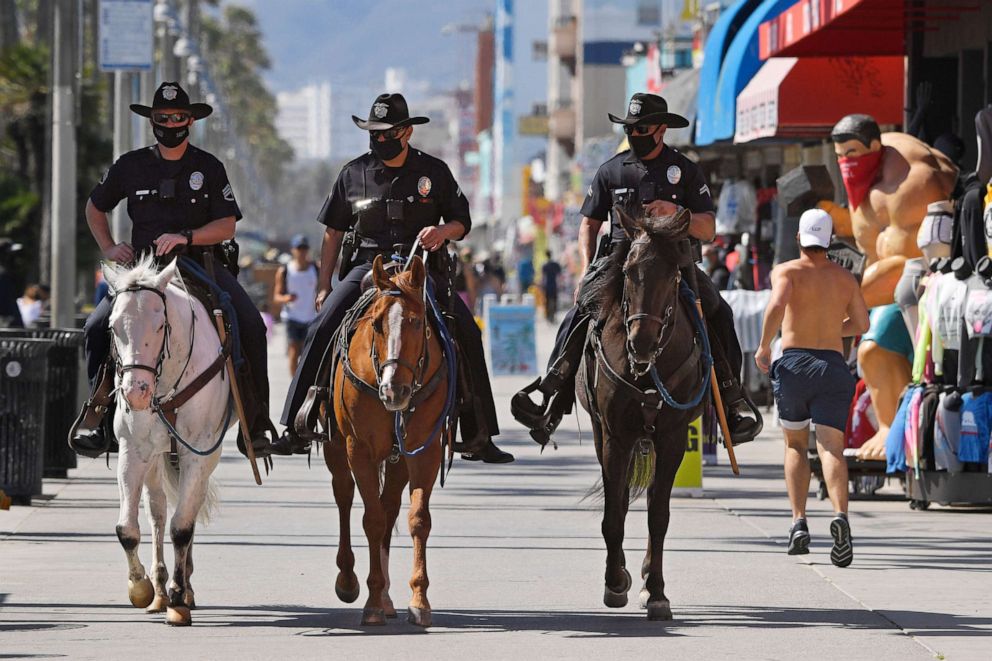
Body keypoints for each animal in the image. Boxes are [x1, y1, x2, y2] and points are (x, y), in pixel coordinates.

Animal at [103, 254, 232, 624]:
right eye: (113, 327)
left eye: (161, 325)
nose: (136, 392)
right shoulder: (133, 450)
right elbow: (127, 528)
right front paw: (141, 587)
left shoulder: (198, 453)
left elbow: (182, 528)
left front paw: (178, 598)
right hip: (156, 459)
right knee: (158, 512)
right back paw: (159, 590)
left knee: (187, 512)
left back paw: (182, 588)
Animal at [324, 255, 448, 628]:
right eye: (377, 324)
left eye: (417, 321)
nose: (394, 391)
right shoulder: (358, 449)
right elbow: (372, 520)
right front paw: (371, 601)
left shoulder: (425, 449)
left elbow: (417, 519)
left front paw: (418, 599)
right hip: (337, 450)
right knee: (345, 496)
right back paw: (349, 580)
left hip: (398, 460)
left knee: (389, 505)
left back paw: (389, 596)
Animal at [576, 206, 708, 620]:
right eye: (629, 269)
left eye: (673, 272)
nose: (641, 342)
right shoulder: (615, 436)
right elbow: (614, 513)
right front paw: (614, 582)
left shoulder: (672, 438)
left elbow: (658, 516)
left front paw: (658, 592)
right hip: (603, 435)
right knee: (619, 501)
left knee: (651, 502)